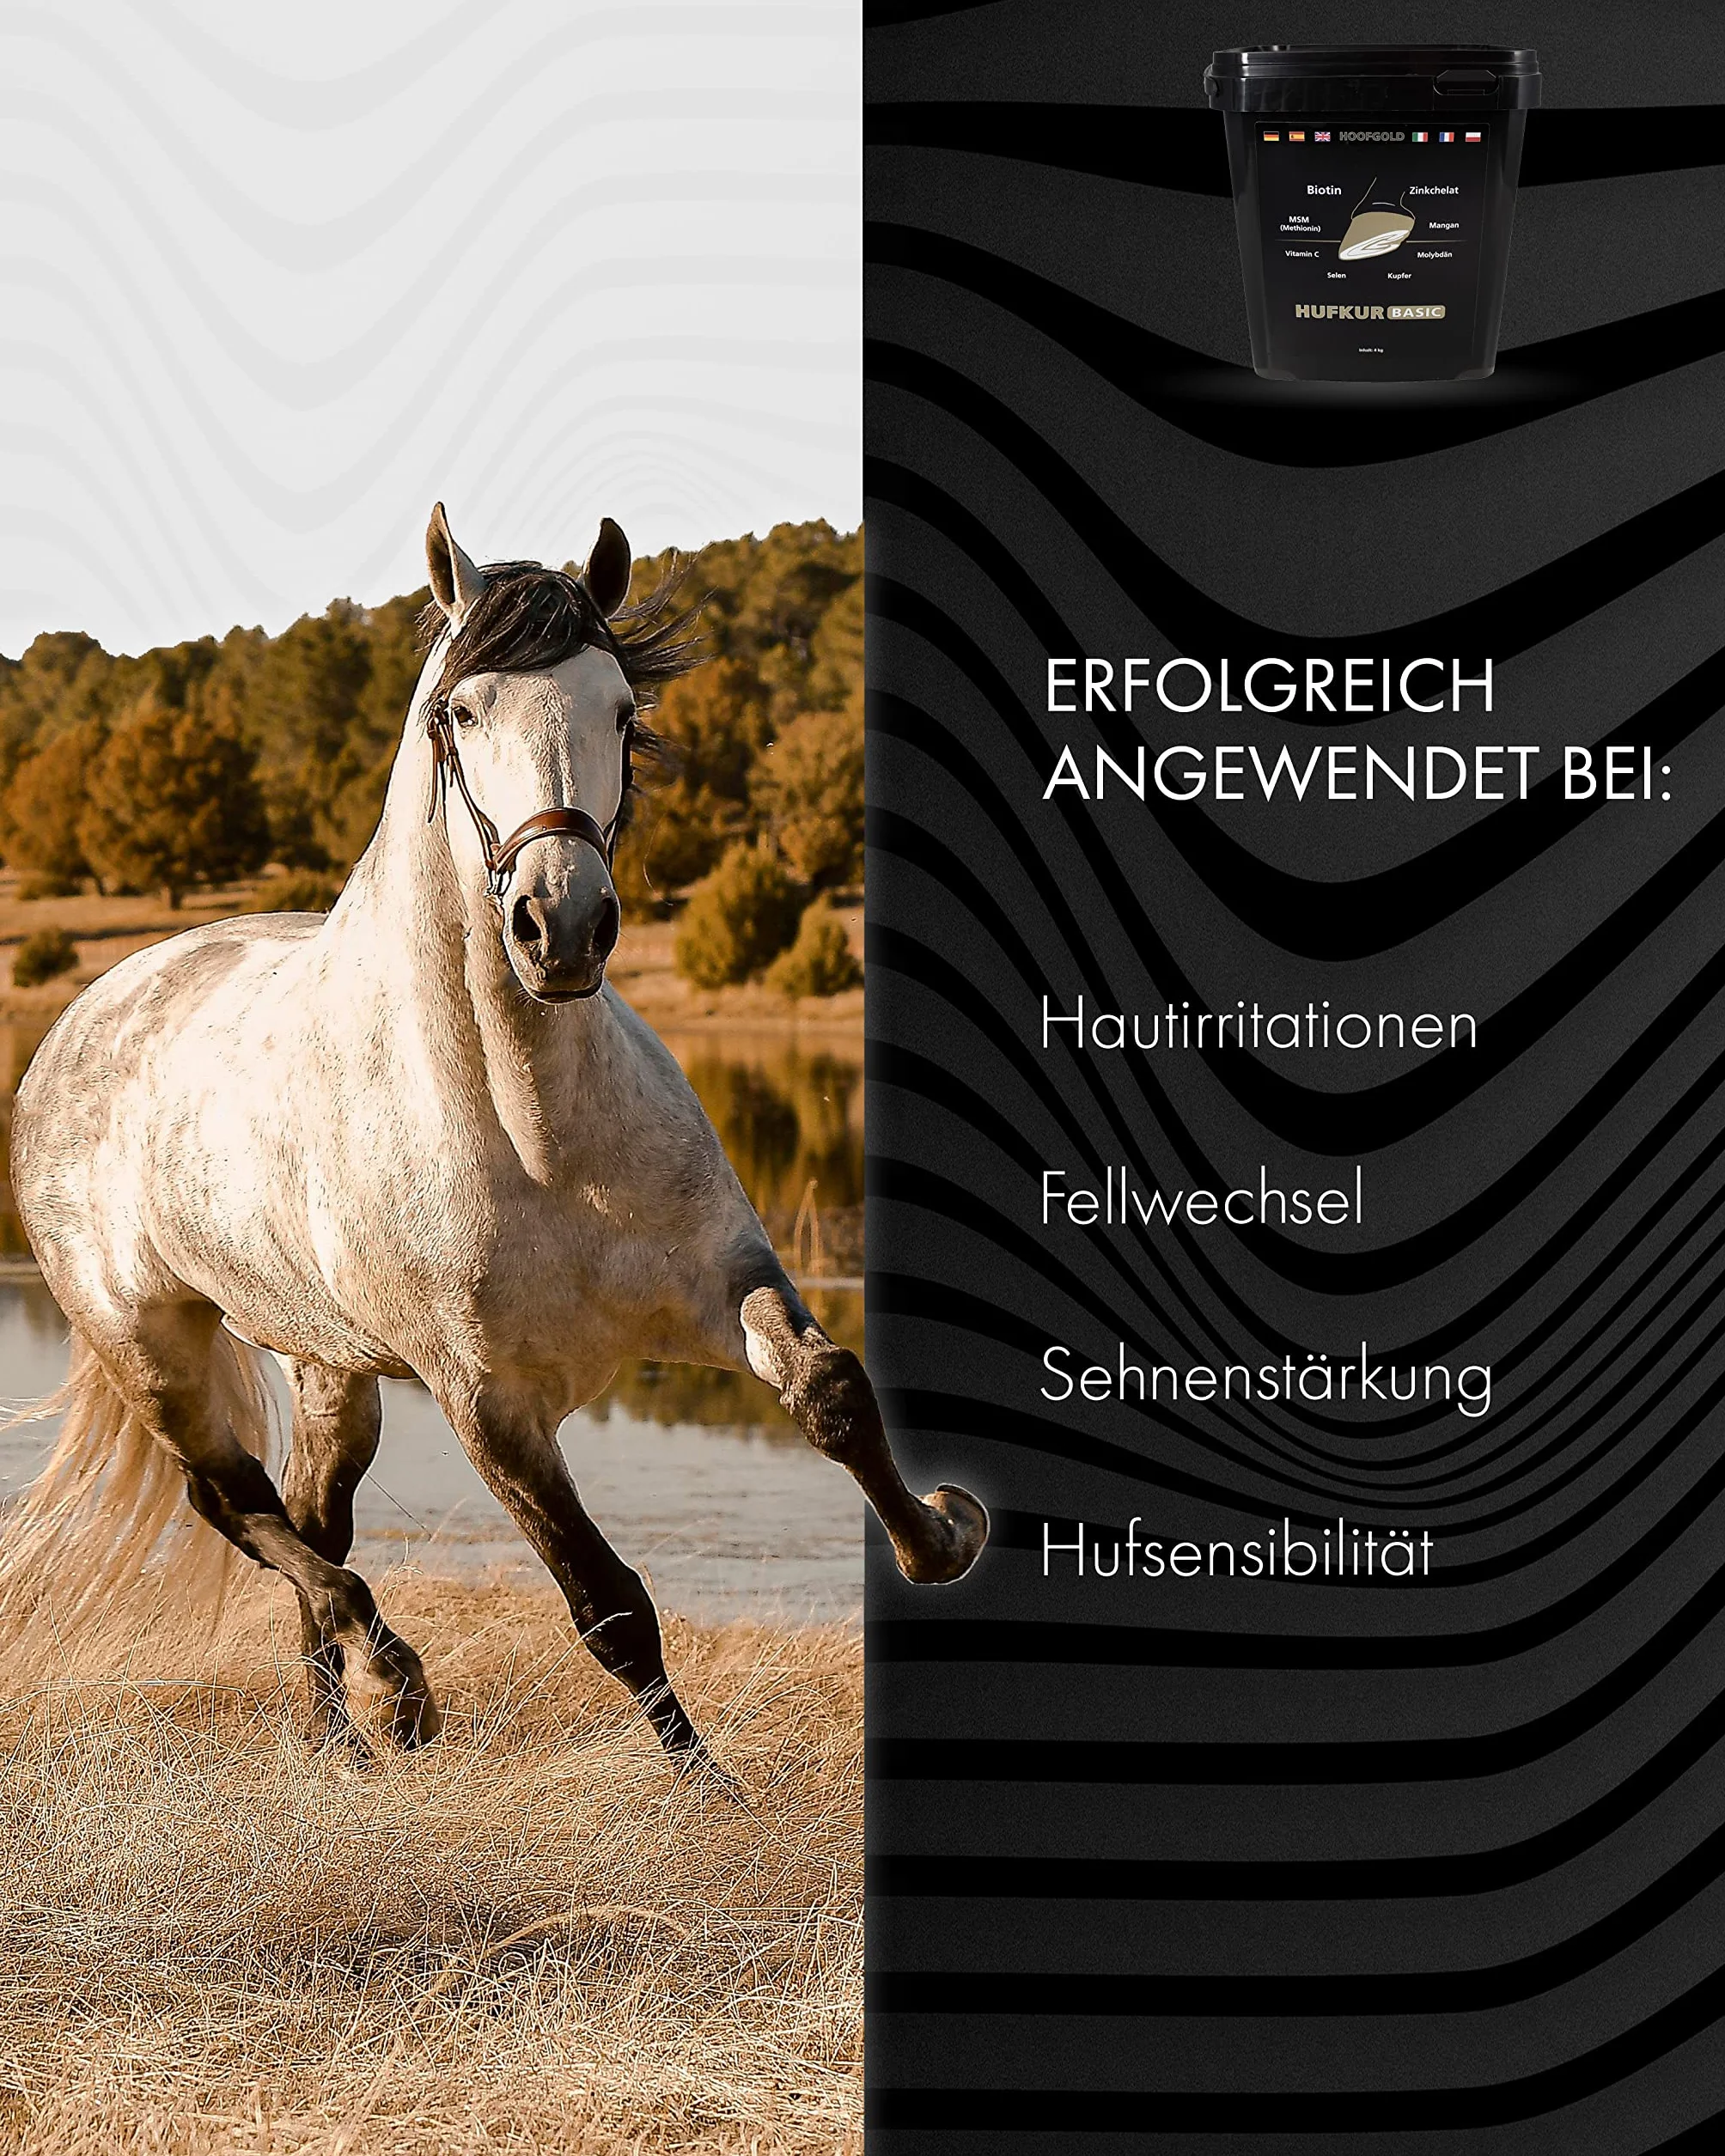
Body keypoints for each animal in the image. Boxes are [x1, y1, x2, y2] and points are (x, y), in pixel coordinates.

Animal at [1, 504, 987, 1773]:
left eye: (619, 707)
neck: (533, 1132)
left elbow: (831, 1392)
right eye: (457, 714)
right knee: (236, 1505)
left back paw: (342, 1742)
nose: (559, 924)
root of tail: (85, 1012)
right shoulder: (489, 1403)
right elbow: (610, 1604)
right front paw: (712, 1792)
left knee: (311, 1514)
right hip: (151, 1344)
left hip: (331, 1366)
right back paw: (395, 1687)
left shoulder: (722, 1281)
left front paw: (940, 1537)